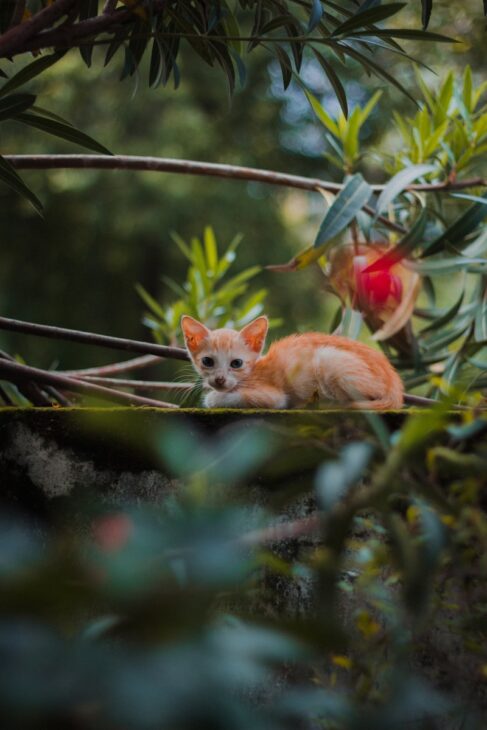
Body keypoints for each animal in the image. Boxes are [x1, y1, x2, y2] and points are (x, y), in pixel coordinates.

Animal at [182, 314, 404, 410]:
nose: (219, 380)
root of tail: (395, 383)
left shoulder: (274, 396)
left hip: (328, 359)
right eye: (207, 361)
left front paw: (214, 398)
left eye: (236, 363)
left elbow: (227, 398)